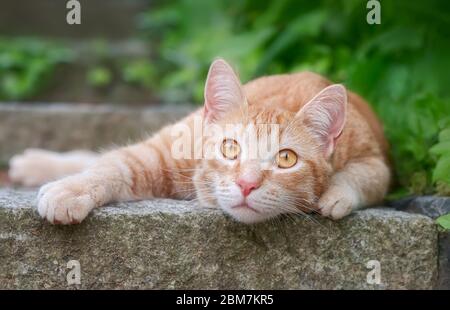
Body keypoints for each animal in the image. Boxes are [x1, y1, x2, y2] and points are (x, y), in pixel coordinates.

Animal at [8, 58, 392, 223]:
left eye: (286, 159)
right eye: (230, 147)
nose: (247, 184)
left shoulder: (376, 160)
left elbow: (364, 177)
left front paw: (334, 194)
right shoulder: (156, 154)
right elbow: (111, 165)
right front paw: (70, 189)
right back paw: (35, 164)